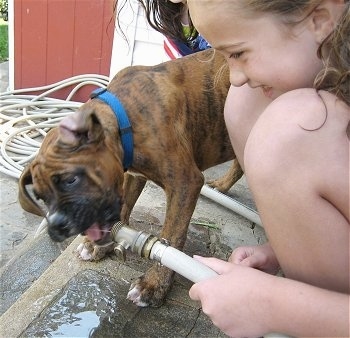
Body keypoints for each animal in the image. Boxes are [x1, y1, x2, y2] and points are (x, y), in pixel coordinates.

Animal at [18, 49, 243, 306]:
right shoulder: (131, 174)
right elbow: (124, 207)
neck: (125, 118)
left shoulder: (185, 183)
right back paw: (223, 186)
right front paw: (100, 246)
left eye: (70, 181)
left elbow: (171, 236)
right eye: (41, 198)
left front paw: (154, 285)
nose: (57, 226)